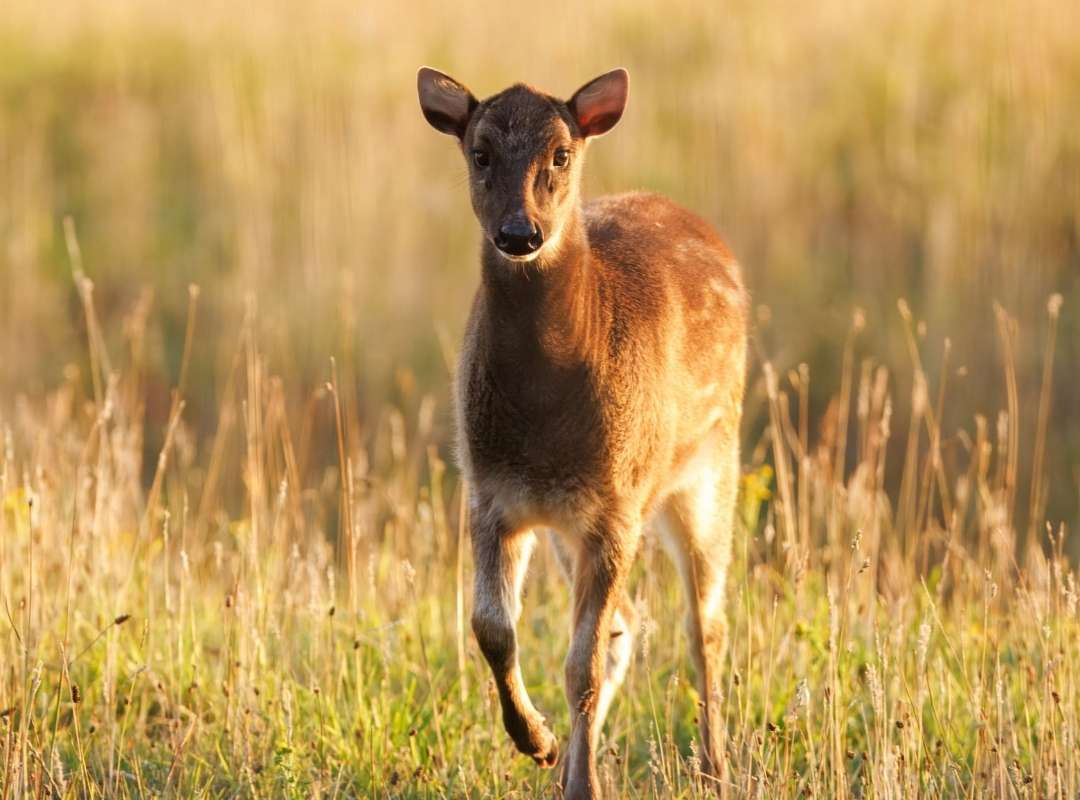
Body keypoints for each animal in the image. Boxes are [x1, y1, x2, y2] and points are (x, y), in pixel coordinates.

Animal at [417, 66, 748, 799]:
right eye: (480, 152)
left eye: (561, 154)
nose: (521, 232)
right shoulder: (490, 493)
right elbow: (493, 628)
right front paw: (536, 742)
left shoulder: (616, 506)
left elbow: (582, 666)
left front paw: (582, 782)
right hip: (574, 526)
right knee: (629, 627)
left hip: (712, 466)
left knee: (704, 624)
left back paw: (715, 765)